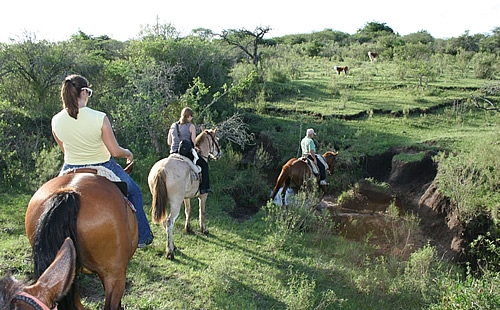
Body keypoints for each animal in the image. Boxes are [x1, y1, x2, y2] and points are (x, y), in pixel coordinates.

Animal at [146, 128, 221, 260]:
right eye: (216, 140)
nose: (219, 153)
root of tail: (161, 169)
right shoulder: (203, 196)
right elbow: (202, 212)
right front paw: (204, 229)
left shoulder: (186, 197)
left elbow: (188, 211)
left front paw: (188, 228)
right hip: (175, 203)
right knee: (169, 222)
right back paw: (170, 252)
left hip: (163, 201)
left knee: (165, 221)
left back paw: (173, 246)